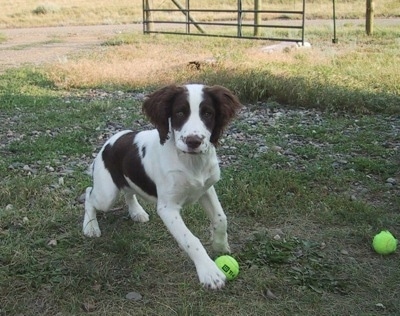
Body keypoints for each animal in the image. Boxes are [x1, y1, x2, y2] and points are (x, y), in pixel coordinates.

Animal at [82, 83, 241, 288]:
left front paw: (220, 246)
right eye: (180, 113)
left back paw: (137, 212)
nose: (193, 142)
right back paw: (90, 227)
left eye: (208, 113)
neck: (190, 162)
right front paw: (209, 272)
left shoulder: (206, 189)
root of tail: (112, 140)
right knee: (89, 194)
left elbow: (221, 219)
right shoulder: (168, 208)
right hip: (106, 194)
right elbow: (191, 240)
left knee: (128, 191)